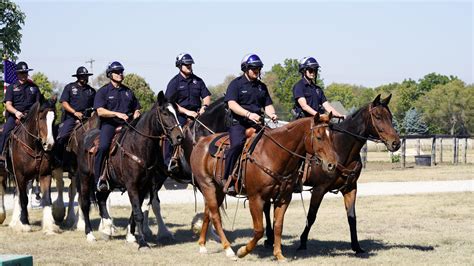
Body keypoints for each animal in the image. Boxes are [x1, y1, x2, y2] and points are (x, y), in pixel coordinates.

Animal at [5, 100, 57, 233]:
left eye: (54, 119)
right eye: (41, 118)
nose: (49, 144)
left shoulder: (45, 175)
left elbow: (47, 199)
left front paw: (49, 227)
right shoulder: (20, 176)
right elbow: (24, 198)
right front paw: (25, 223)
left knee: (16, 193)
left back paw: (14, 222)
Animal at [191, 112, 338, 262]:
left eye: (332, 137)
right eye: (319, 137)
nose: (332, 164)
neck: (272, 154)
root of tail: (201, 142)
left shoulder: (284, 198)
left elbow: (278, 226)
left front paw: (279, 254)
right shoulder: (255, 198)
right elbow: (259, 230)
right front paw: (243, 251)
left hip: (219, 189)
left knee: (208, 212)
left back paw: (202, 245)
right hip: (207, 185)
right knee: (215, 216)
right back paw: (228, 250)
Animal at [262, 93, 400, 254]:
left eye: (390, 116)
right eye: (378, 116)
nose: (396, 143)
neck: (340, 148)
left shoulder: (350, 188)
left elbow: (352, 217)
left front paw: (356, 246)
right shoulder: (319, 189)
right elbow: (311, 216)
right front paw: (302, 242)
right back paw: (270, 238)